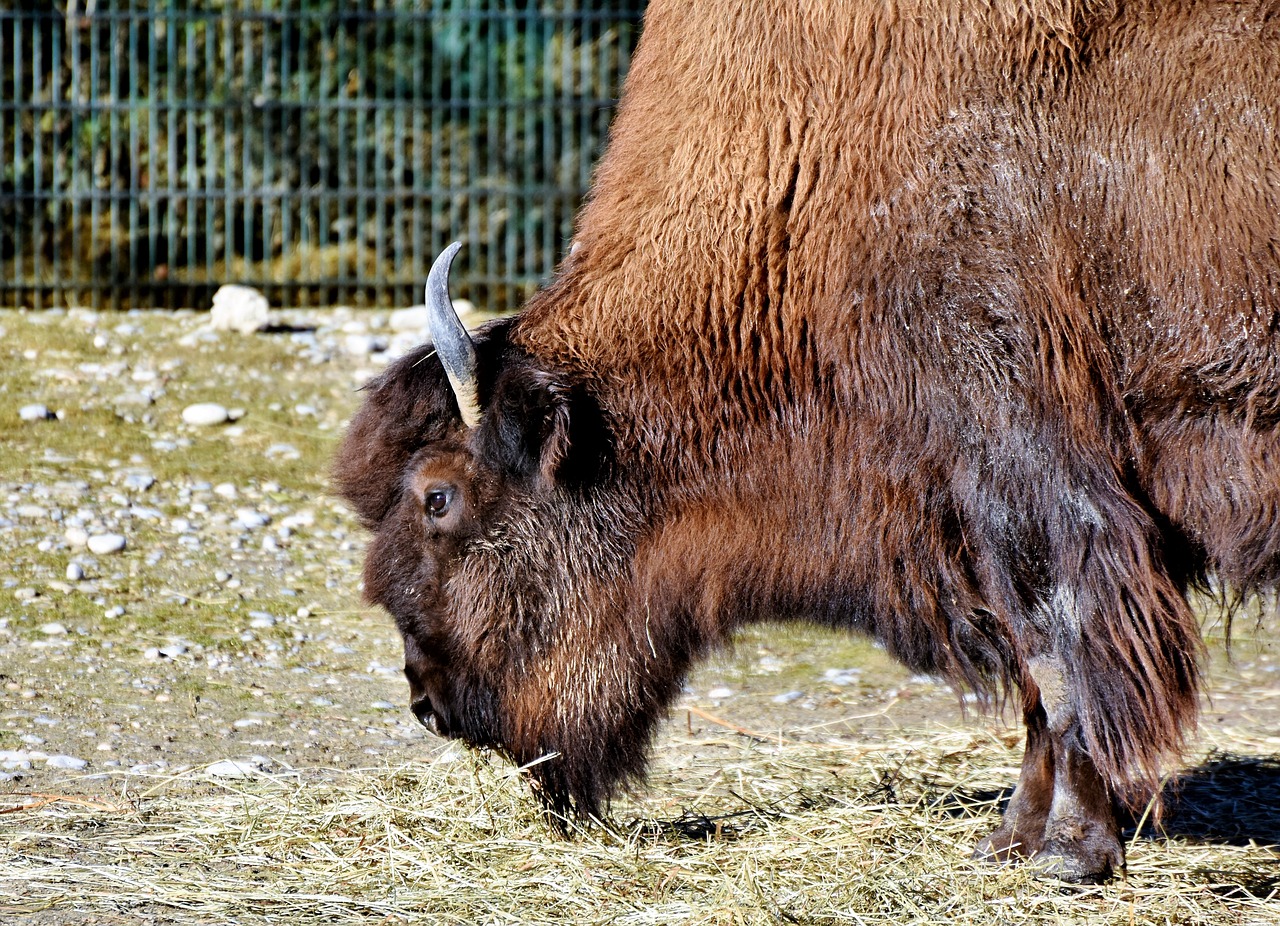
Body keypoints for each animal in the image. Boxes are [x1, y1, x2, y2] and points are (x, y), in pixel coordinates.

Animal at [337, 0, 1280, 886]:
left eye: (438, 496)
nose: (427, 700)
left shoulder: (1023, 466)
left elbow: (1057, 654)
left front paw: (1067, 851)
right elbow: (1032, 681)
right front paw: (1007, 842)